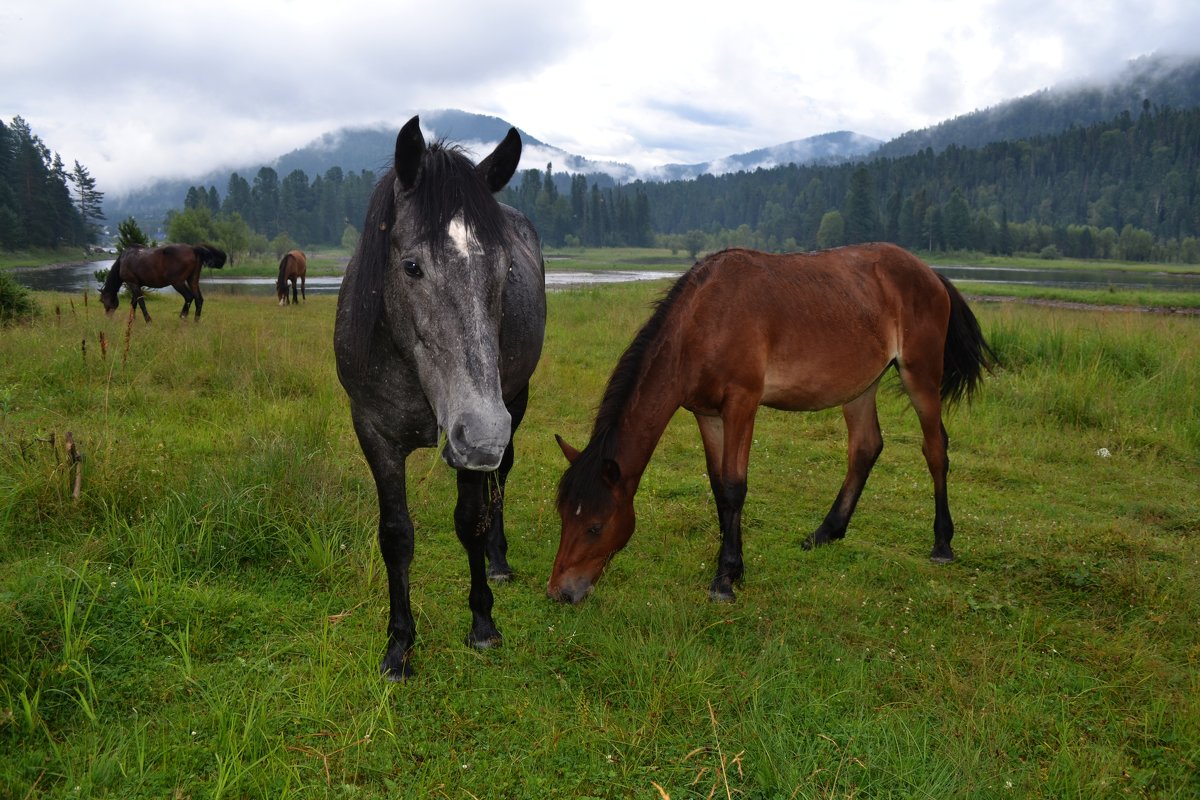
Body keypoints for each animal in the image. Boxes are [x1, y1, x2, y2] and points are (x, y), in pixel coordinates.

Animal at [98, 244, 226, 321]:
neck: (123, 260)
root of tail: (194, 249)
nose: (107, 316)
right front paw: (132, 320)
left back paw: (182, 317)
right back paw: (196, 321)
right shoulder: (137, 284)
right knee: (198, 299)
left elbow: (140, 302)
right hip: (192, 279)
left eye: (103, 301)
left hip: (178, 282)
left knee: (189, 297)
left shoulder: (132, 283)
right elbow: (134, 302)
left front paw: (148, 320)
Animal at [336, 115, 547, 681]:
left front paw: (482, 623)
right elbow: (396, 535)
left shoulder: (476, 434)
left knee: (502, 480)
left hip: (513, 403)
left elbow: (470, 521)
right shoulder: (373, 432)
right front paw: (398, 647)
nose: (483, 435)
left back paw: (498, 561)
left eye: (506, 269)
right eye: (411, 266)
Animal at [549, 244, 993, 606]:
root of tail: (932, 274)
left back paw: (942, 543)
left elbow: (734, 487)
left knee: (935, 449)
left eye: (595, 526)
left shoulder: (742, 404)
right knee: (865, 448)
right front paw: (734, 567)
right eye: (564, 516)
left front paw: (724, 581)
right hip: (860, 387)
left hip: (920, 375)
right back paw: (826, 533)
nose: (559, 592)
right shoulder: (706, 414)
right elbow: (718, 489)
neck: (704, 320)